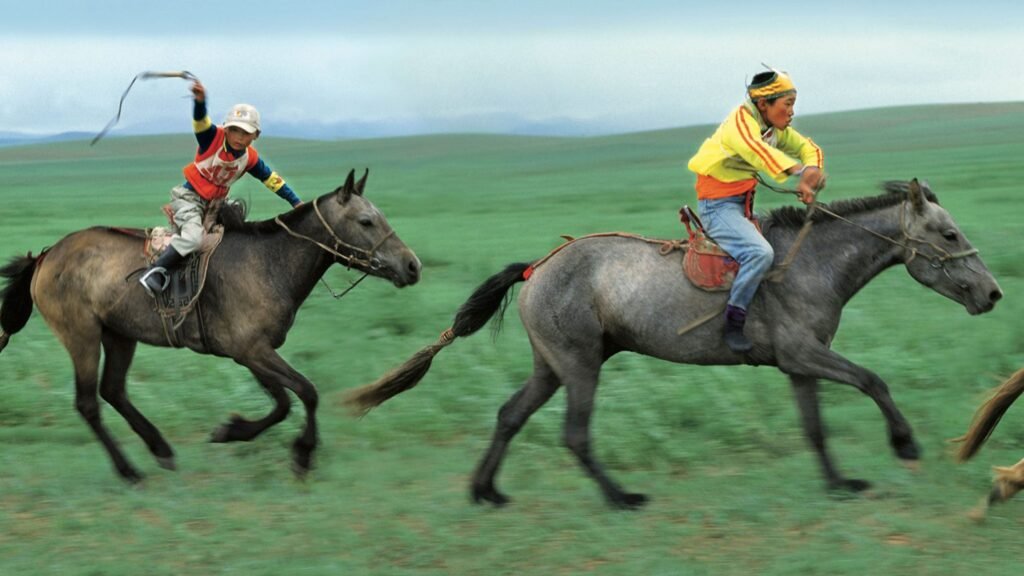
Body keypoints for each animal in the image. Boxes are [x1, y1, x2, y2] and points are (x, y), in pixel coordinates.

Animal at [0, 169, 421, 483]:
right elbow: (307, 391)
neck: (269, 262)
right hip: (82, 336)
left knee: (113, 390)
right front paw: (302, 455)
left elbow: (283, 402)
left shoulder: (250, 353)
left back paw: (161, 450)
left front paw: (231, 431)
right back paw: (130, 471)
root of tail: (46, 256)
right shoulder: (252, 350)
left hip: (119, 335)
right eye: (366, 220)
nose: (412, 265)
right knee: (88, 402)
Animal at [345, 180, 1002, 508]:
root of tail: (536, 268)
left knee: (509, 414)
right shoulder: (805, 355)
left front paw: (841, 485)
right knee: (574, 434)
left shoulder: (798, 366)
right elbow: (874, 380)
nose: (993, 293)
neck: (814, 263)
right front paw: (905, 445)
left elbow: (816, 428)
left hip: (551, 366)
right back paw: (621, 497)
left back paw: (486, 492)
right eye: (948, 234)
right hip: (580, 366)